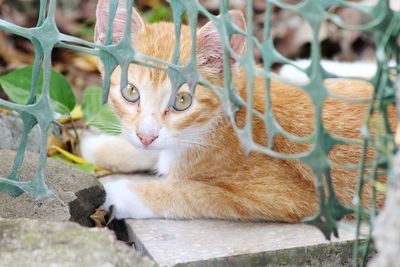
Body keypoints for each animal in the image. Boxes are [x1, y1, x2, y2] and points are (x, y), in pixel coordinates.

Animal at [79, 0, 396, 223]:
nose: (146, 136)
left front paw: (121, 192)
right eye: (130, 92)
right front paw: (101, 146)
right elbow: (153, 151)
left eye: (182, 101)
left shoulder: (298, 199)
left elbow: (194, 193)